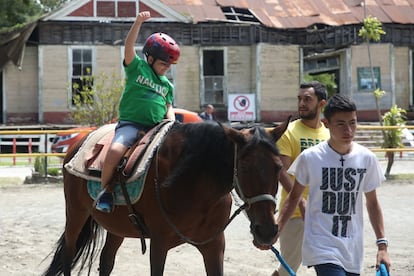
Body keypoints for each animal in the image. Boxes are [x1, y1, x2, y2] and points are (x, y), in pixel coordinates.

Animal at [42, 119, 288, 276]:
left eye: (278, 167)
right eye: (244, 167)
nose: (267, 231)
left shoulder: (214, 245)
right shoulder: (159, 244)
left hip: (116, 228)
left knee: (106, 260)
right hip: (76, 213)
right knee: (68, 254)